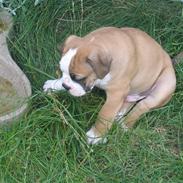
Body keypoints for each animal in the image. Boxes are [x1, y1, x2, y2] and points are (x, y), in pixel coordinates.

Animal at [43, 26, 177, 144]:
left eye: (79, 78)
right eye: (62, 72)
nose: (66, 87)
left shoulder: (116, 94)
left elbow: (105, 114)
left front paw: (96, 136)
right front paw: (54, 84)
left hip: (165, 84)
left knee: (142, 106)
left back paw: (124, 125)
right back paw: (119, 114)